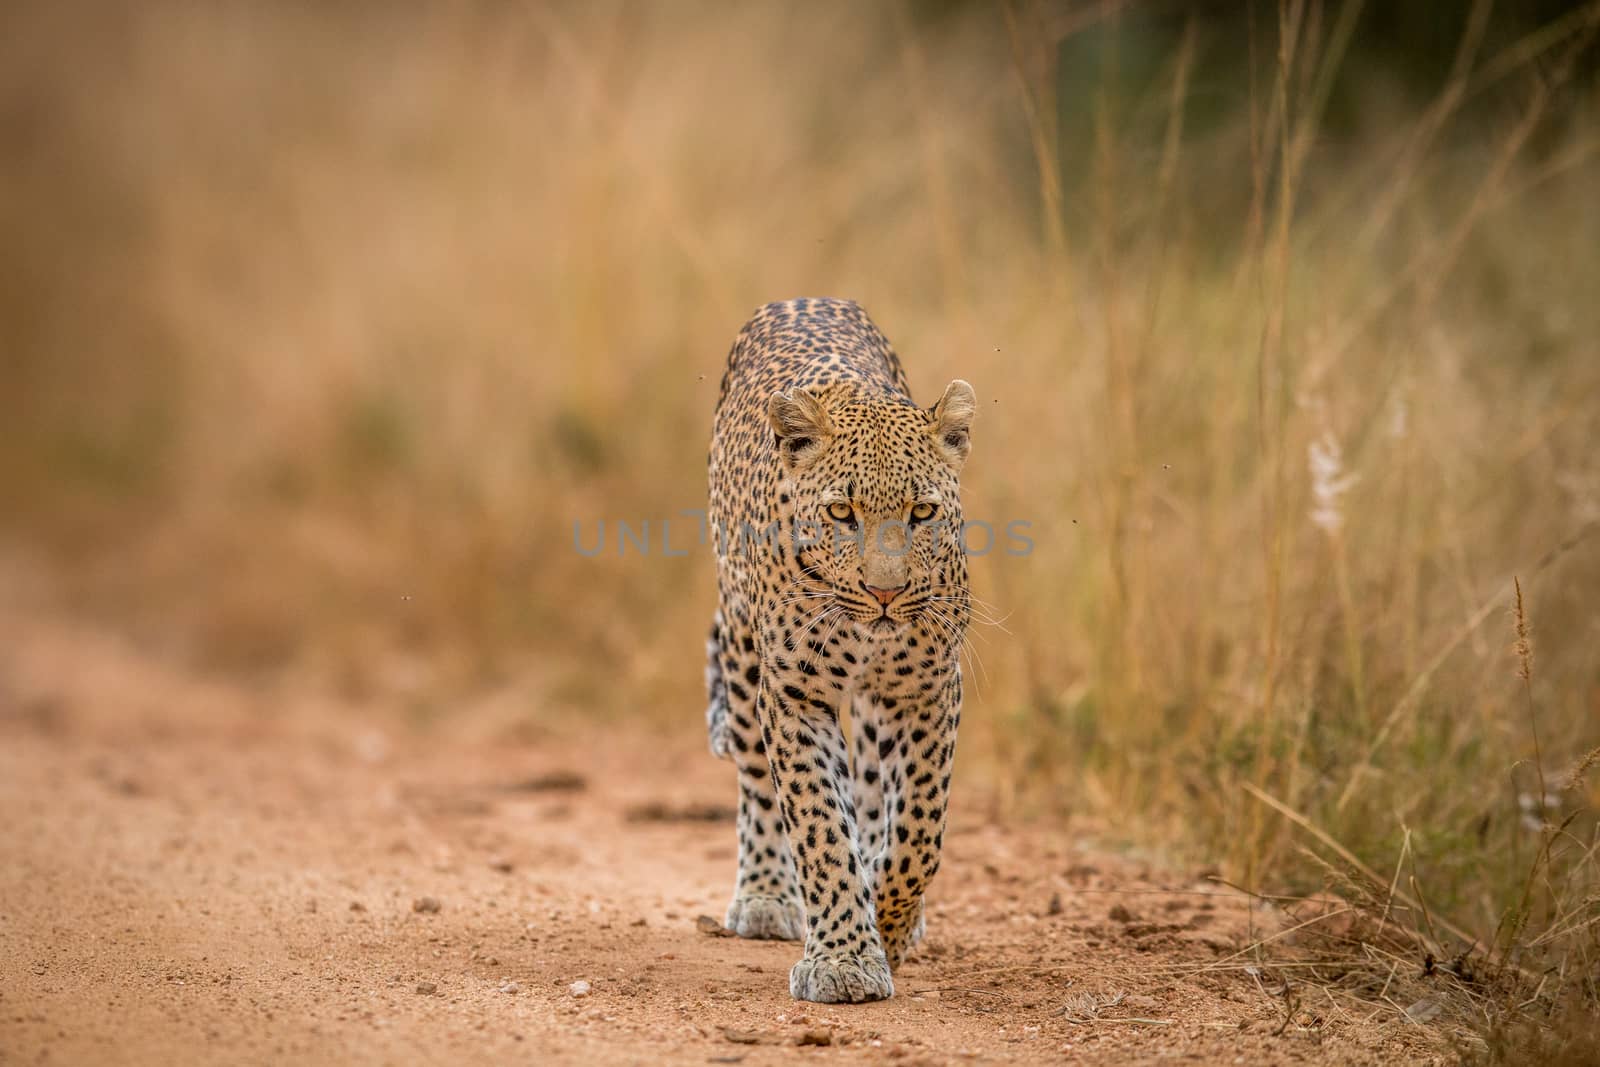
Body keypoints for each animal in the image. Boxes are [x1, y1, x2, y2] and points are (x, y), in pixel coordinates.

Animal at [704, 295, 972, 1004]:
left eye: (923, 512)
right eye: (843, 513)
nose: (885, 593)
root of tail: (801, 298)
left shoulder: (927, 688)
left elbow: (919, 831)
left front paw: (888, 920)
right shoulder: (795, 693)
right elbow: (820, 825)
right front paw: (844, 960)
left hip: (877, 705)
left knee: (877, 791)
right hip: (742, 653)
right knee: (757, 781)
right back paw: (766, 897)